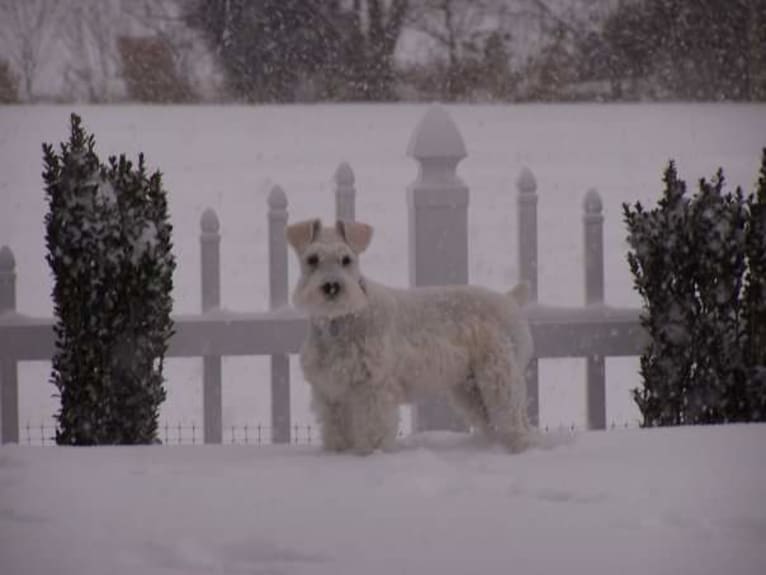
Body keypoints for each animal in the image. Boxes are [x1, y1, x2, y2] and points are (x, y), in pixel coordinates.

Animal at [288, 217, 536, 454]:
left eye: (346, 259)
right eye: (312, 259)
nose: (331, 286)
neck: (339, 321)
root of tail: (510, 300)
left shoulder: (373, 388)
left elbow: (372, 428)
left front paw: (370, 454)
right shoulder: (330, 391)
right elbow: (336, 428)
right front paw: (338, 453)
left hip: (499, 378)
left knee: (517, 423)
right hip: (471, 388)